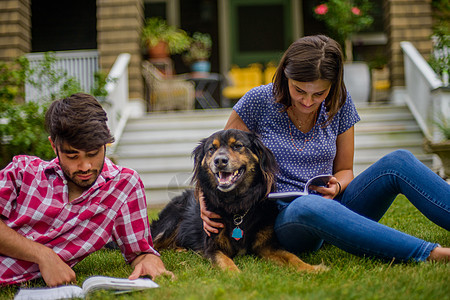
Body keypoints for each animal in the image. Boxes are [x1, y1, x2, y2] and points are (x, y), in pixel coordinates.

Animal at [150, 127, 324, 274]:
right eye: (211, 149)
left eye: (238, 146)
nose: (219, 161)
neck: (236, 205)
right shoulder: (213, 246)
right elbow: (226, 262)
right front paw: (237, 276)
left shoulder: (267, 246)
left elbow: (291, 257)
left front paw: (313, 269)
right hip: (169, 224)